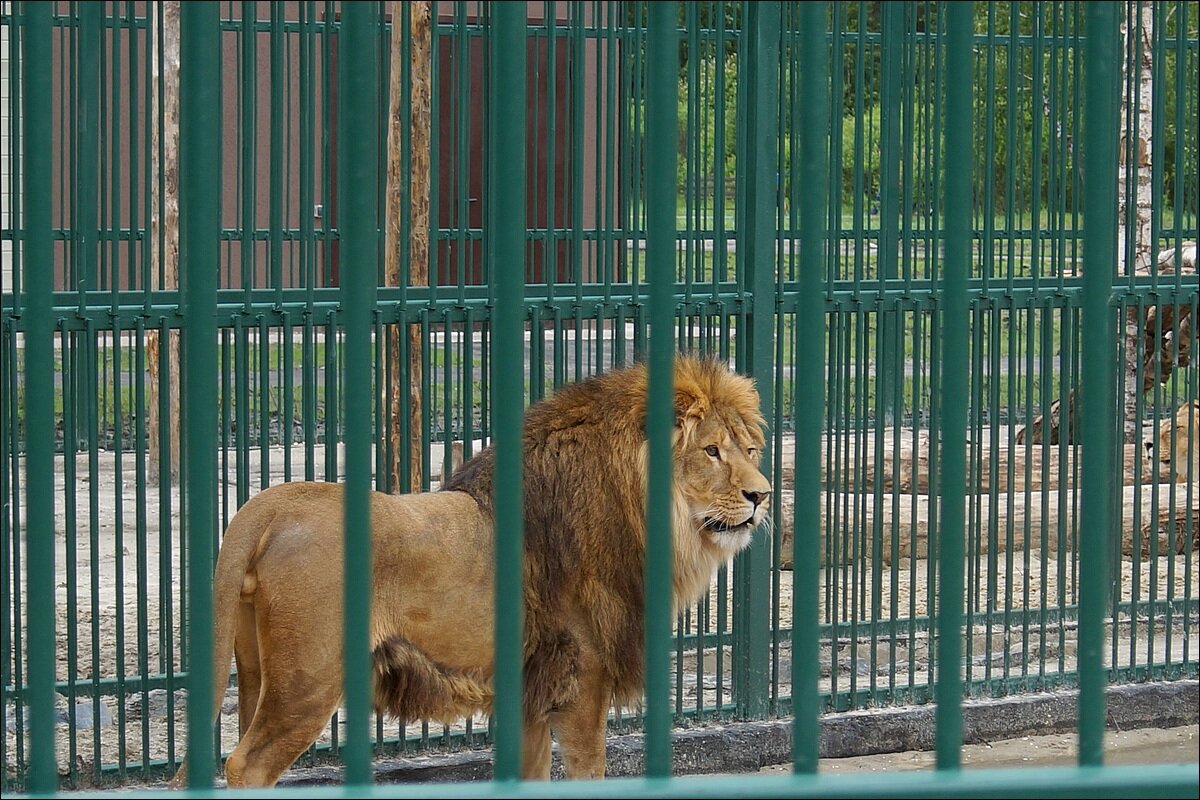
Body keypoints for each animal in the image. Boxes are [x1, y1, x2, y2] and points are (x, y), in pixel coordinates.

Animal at [169, 357, 768, 786]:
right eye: (712, 451)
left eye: (750, 449)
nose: (762, 495)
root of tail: (269, 504)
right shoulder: (583, 684)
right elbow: (587, 772)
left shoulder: (533, 689)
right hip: (307, 681)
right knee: (246, 765)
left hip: (256, 671)